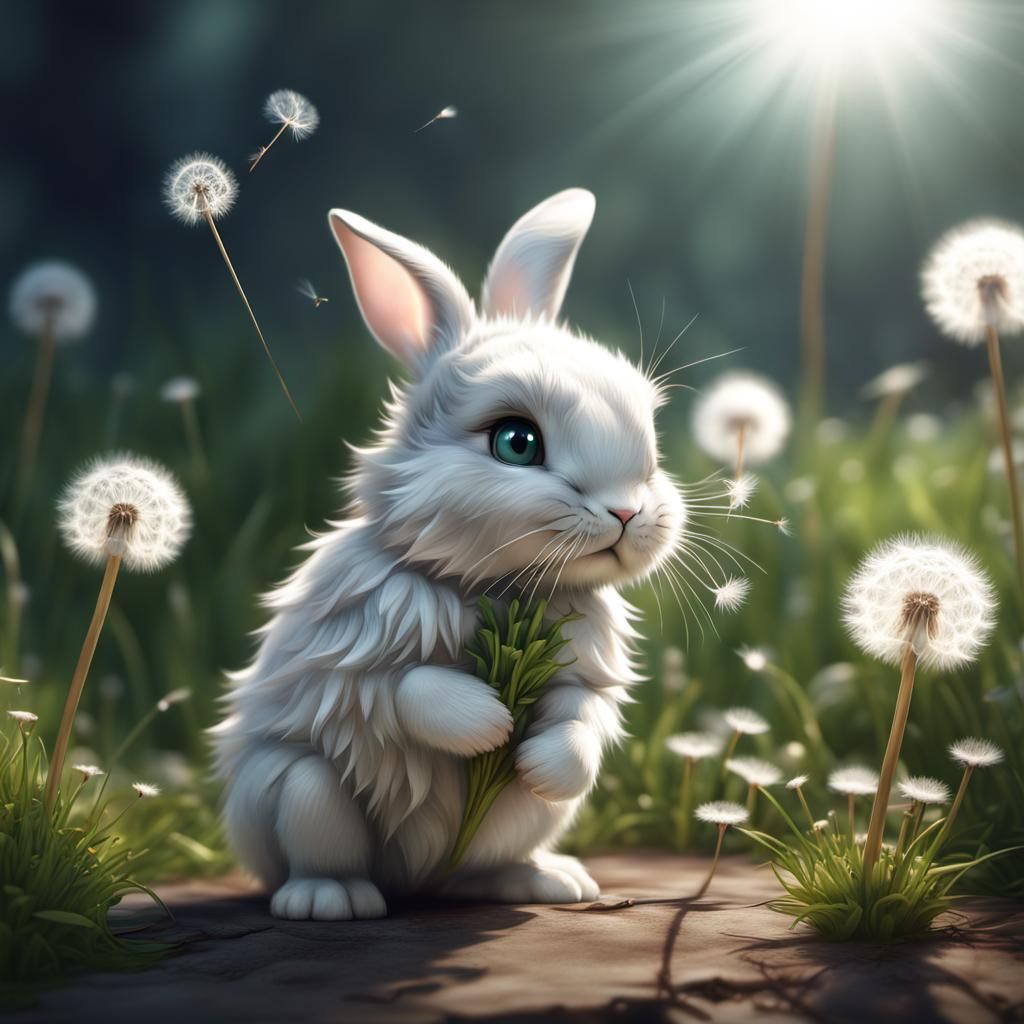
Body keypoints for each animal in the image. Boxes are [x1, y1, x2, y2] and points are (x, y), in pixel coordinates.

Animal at [211, 188, 686, 920]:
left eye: (651, 442)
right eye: (516, 442)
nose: (628, 513)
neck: (499, 588)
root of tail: (420, 882)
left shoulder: (581, 674)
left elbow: (579, 716)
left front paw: (538, 762)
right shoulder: (353, 658)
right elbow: (404, 691)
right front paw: (488, 723)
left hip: (524, 823)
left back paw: (548, 881)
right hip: (299, 793)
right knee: (321, 838)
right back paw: (330, 900)